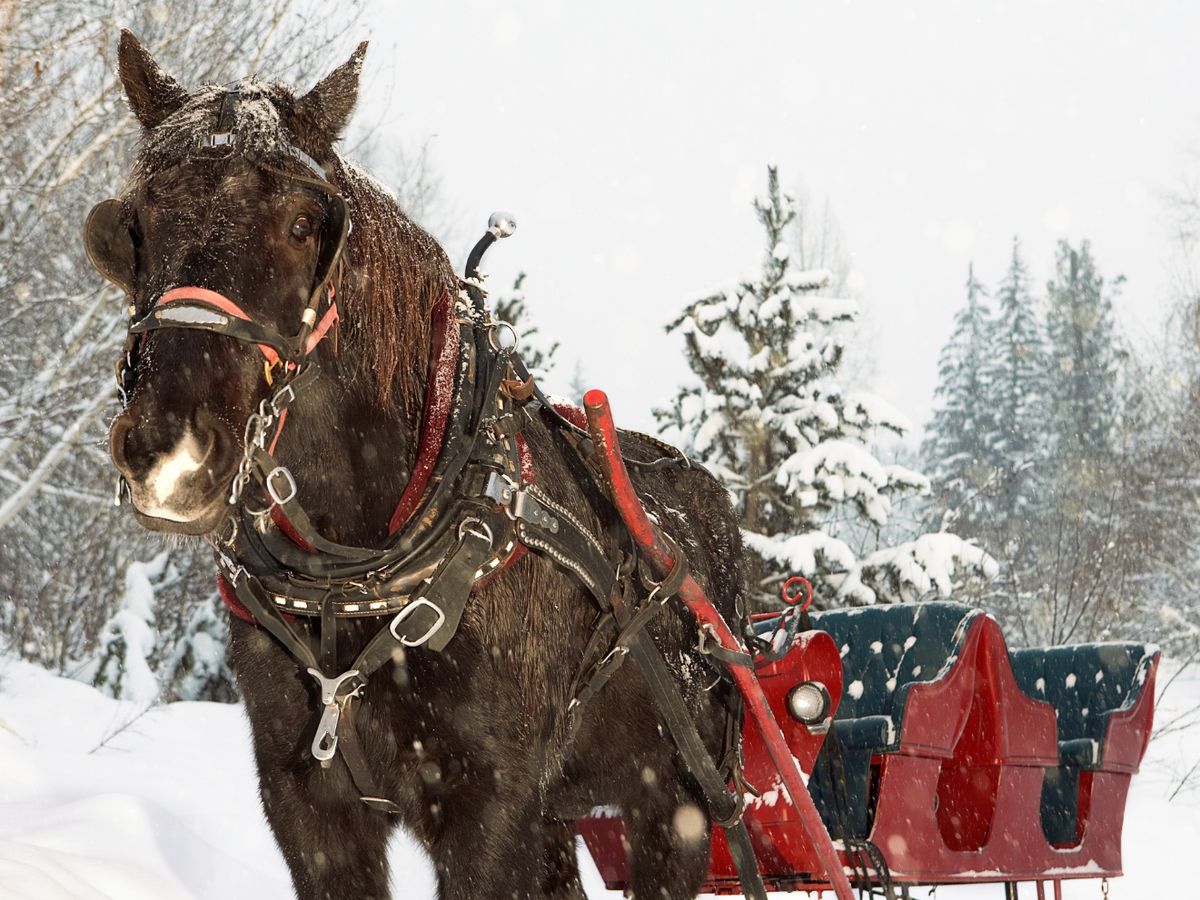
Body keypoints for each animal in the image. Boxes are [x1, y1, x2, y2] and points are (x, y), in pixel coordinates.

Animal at [88, 31, 752, 900]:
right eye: (135, 222)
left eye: (304, 222)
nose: (169, 450)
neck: (360, 571)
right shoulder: (310, 810)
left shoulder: (488, 814)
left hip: (676, 804)